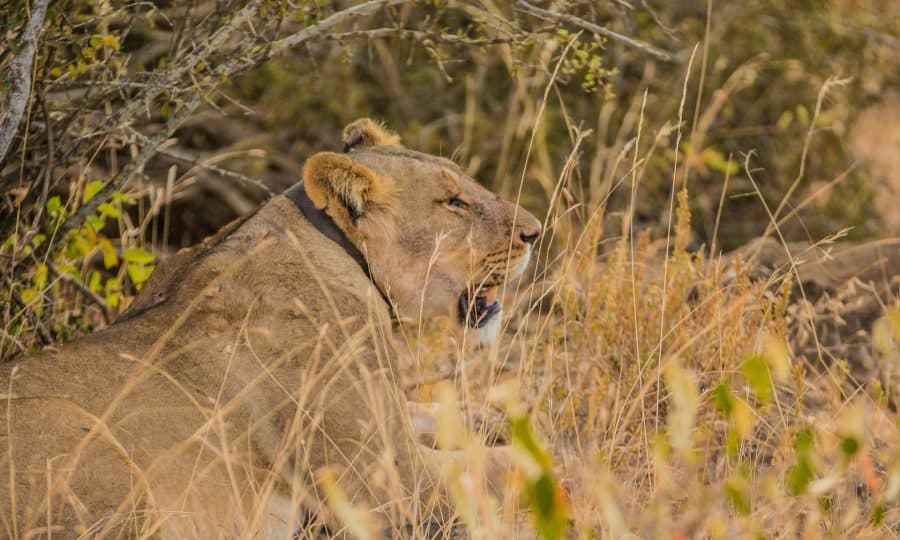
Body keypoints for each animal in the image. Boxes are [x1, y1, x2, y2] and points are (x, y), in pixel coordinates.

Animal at [0, 118, 542, 538]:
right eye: (453, 202)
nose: (537, 233)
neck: (338, 251)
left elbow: (441, 414)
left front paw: (504, 417)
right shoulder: (392, 483)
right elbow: (500, 468)